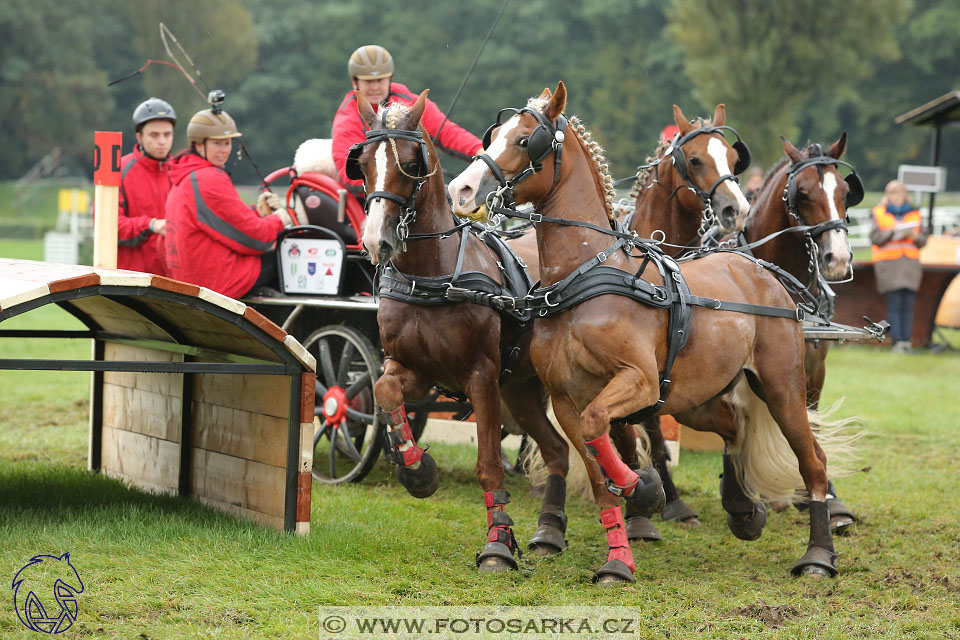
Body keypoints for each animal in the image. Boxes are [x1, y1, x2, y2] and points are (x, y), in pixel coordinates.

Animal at [348, 89, 664, 576]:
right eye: (362, 163)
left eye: (412, 163)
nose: (375, 241)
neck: (433, 273)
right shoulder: (411, 369)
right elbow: (384, 392)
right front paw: (417, 471)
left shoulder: (480, 377)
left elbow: (489, 465)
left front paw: (497, 544)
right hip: (523, 388)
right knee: (556, 450)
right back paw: (550, 530)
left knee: (620, 438)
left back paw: (640, 507)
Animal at [450, 82, 848, 588]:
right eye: (494, 133)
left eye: (525, 141)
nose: (462, 189)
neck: (587, 275)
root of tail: (761, 270)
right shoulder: (565, 397)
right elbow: (599, 473)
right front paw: (619, 555)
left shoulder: (637, 381)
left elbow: (602, 428)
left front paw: (642, 489)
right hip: (701, 396)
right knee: (735, 427)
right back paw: (742, 509)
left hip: (784, 388)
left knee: (812, 462)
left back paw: (818, 554)